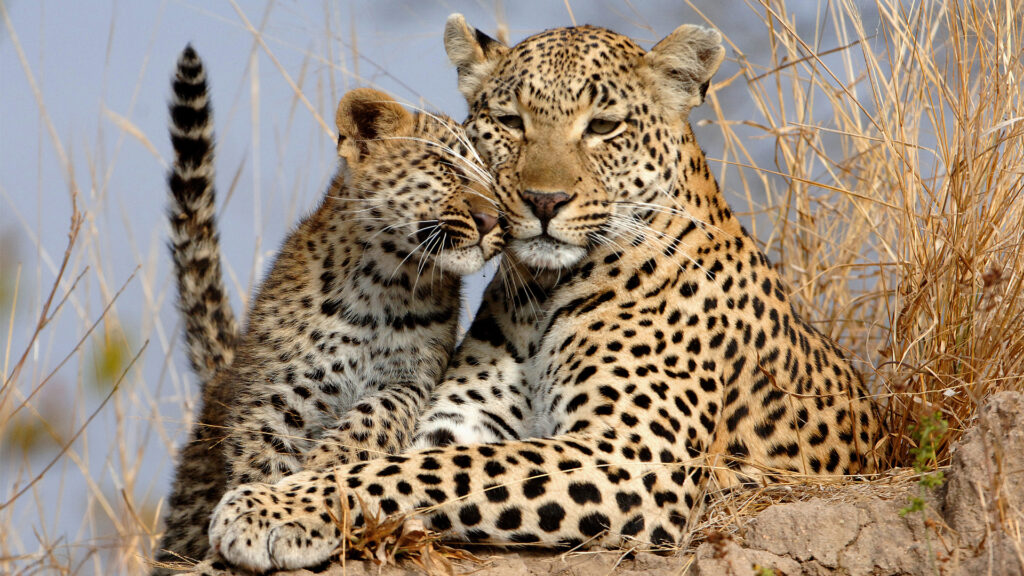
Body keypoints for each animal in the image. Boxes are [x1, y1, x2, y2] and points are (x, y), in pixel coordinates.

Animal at [151, 45, 504, 572]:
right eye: (445, 166)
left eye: (501, 186)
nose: (492, 220)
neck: (387, 284)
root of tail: (219, 378)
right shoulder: (278, 390)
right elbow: (261, 456)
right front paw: (267, 509)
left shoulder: (414, 378)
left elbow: (378, 414)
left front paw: (325, 467)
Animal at [204, 16, 882, 573]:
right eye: (510, 122)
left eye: (603, 127)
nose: (544, 201)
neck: (542, 293)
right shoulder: (456, 424)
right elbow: (415, 462)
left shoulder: (632, 455)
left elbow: (432, 473)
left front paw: (269, 509)